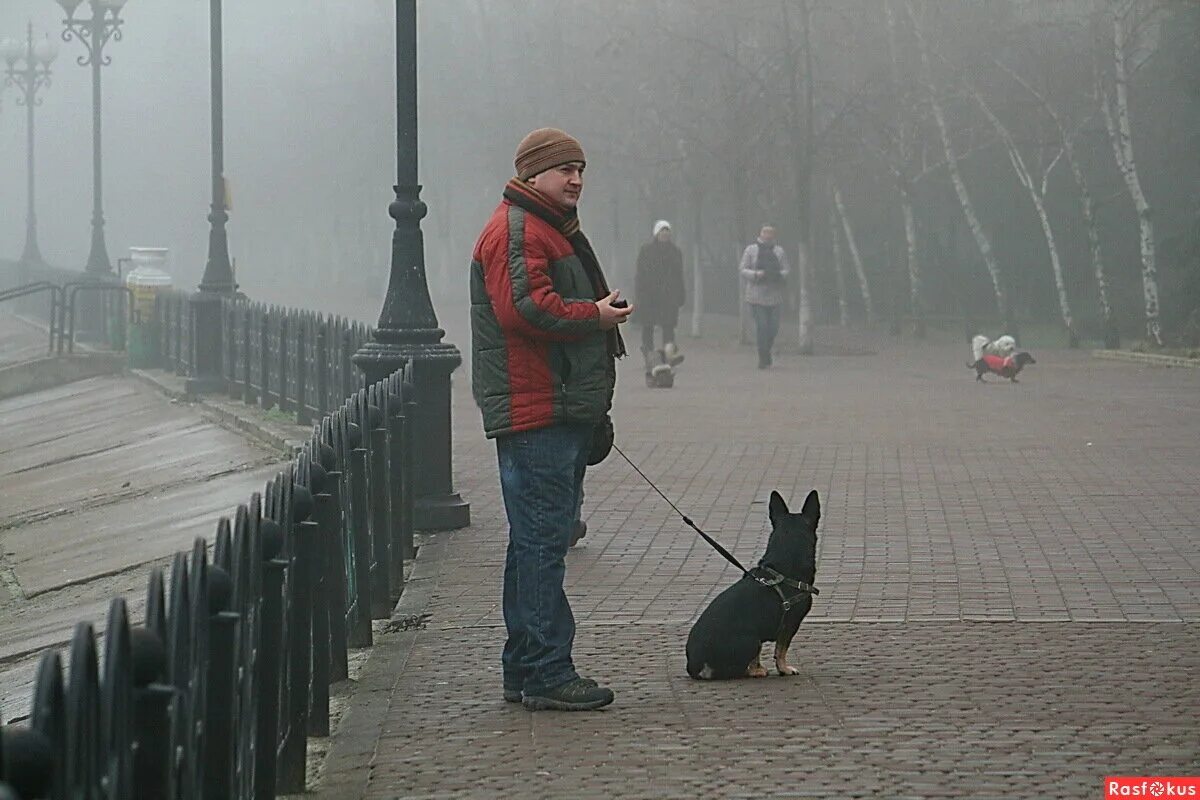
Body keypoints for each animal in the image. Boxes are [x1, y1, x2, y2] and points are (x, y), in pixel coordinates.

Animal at [691, 491, 820, 681]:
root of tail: (696, 667)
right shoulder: (789, 625)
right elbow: (781, 649)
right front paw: (783, 668)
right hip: (752, 639)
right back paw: (754, 671)